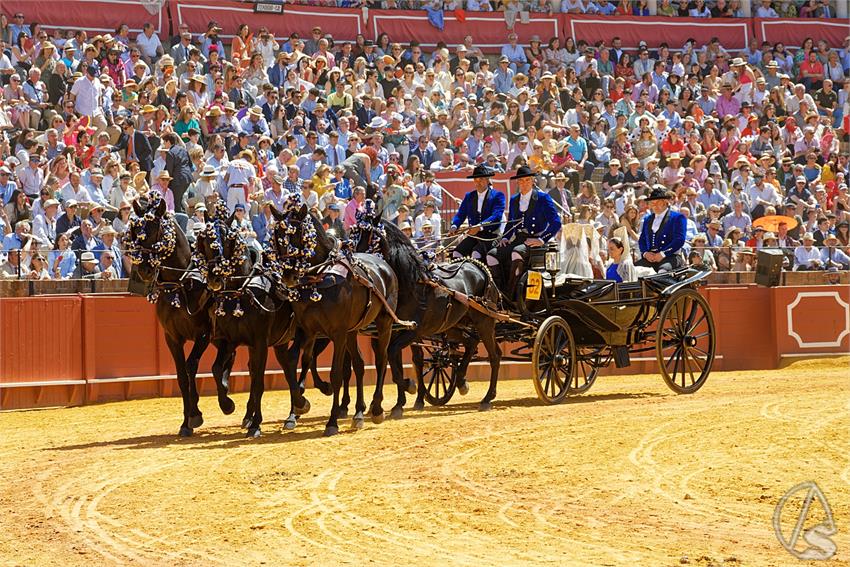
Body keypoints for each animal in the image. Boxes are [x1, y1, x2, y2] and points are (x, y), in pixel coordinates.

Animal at [123, 197, 235, 438]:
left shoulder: (203, 334)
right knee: (227, 358)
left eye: (157, 230)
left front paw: (196, 413)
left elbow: (191, 366)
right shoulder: (172, 337)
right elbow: (182, 375)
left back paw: (226, 401)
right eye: (136, 231)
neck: (181, 284)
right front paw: (187, 421)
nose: (143, 270)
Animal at [272, 202, 404, 438]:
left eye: (298, 234)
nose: (288, 275)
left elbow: (335, 373)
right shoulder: (307, 330)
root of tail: (384, 265)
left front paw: (332, 421)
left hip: (384, 324)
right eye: (277, 236)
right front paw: (298, 408)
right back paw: (358, 414)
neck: (319, 278)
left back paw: (376, 408)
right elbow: (298, 361)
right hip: (352, 331)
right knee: (359, 364)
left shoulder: (338, 333)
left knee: (381, 360)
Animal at [348, 211, 500, 414]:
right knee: (471, 342)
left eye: (372, 236)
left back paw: (487, 398)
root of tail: (478, 266)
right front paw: (401, 401)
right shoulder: (395, 330)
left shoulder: (414, 331)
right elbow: (398, 360)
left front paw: (407, 388)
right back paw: (461, 381)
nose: (356, 260)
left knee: (494, 355)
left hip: (484, 321)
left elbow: (393, 353)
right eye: (354, 235)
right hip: (452, 325)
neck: (411, 284)